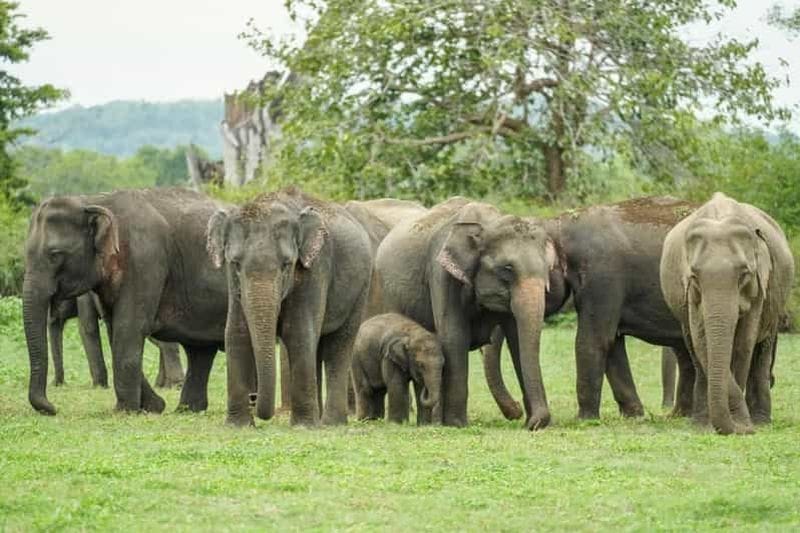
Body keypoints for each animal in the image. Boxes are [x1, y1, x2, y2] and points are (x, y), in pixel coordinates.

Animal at [206, 186, 374, 427]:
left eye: (286, 265)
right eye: (236, 264)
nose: (253, 397)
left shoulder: (315, 268)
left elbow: (298, 332)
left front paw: (303, 427)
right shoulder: (232, 282)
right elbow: (236, 332)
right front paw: (238, 426)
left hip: (361, 288)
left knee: (339, 345)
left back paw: (330, 423)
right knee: (318, 346)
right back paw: (319, 418)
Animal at [376, 197, 558, 429]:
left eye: (547, 269)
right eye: (507, 268)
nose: (528, 420)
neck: (488, 223)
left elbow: (517, 338)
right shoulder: (441, 273)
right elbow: (454, 336)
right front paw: (457, 424)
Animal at [660, 192, 794, 434]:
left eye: (743, 274)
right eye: (695, 276)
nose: (745, 429)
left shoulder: (759, 286)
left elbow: (743, 343)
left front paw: (743, 423)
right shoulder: (690, 293)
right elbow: (700, 339)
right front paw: (716, 426)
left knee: (761, 353)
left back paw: (760, 421)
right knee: (695, 351)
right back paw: (701, 423)